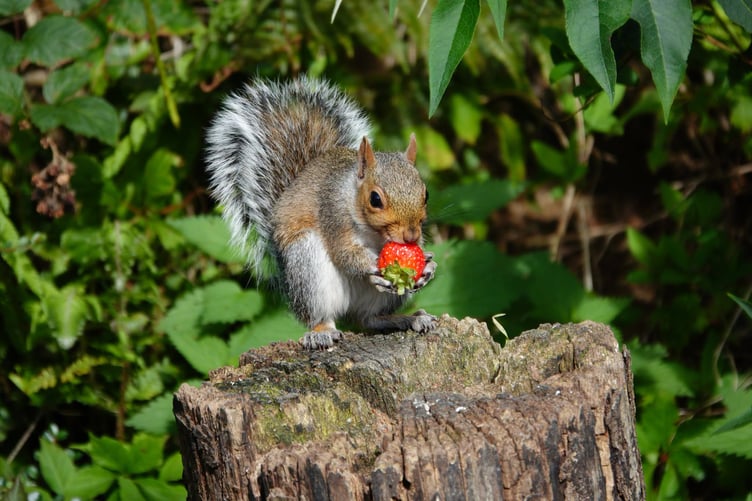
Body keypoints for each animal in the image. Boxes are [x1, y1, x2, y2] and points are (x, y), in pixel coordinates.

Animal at [205, 76, 437, 349]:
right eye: (375, 199)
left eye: (426, 194)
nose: (410, 237)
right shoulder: (332, 213)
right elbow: (344, 252)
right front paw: (374, 265)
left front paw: (429, 267)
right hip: (307, 266)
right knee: (322, 316)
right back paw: (321, 332)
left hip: (381, 300)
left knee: (370, 319)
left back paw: (409, 318)